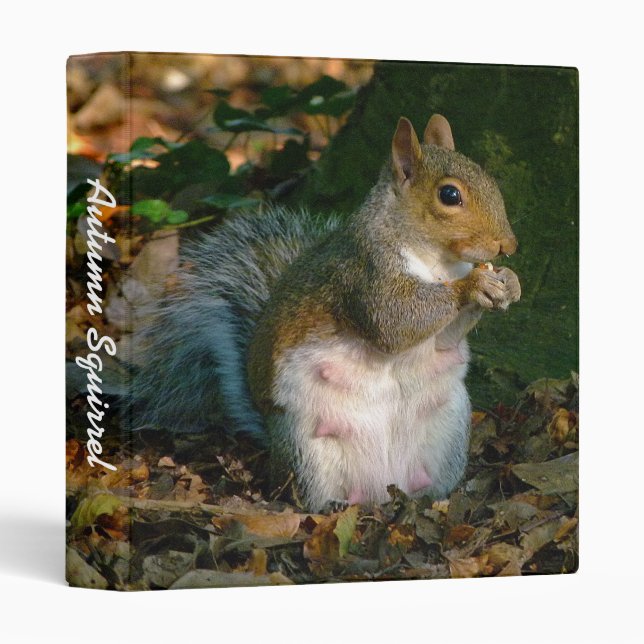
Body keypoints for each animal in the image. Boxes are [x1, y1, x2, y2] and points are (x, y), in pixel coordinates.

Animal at [130, 114, 521, 512]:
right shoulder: (365, 273)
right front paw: (473, 285)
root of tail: (383, 486)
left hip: (450, 429)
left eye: (489, 180)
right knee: (306, 495)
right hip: (307, 447)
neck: (437, 263)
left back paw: (429, 498)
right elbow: (394, 322)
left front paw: (510, 283)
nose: (509, 245)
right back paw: (331, 506)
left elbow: (445, 339)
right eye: (450, 195)